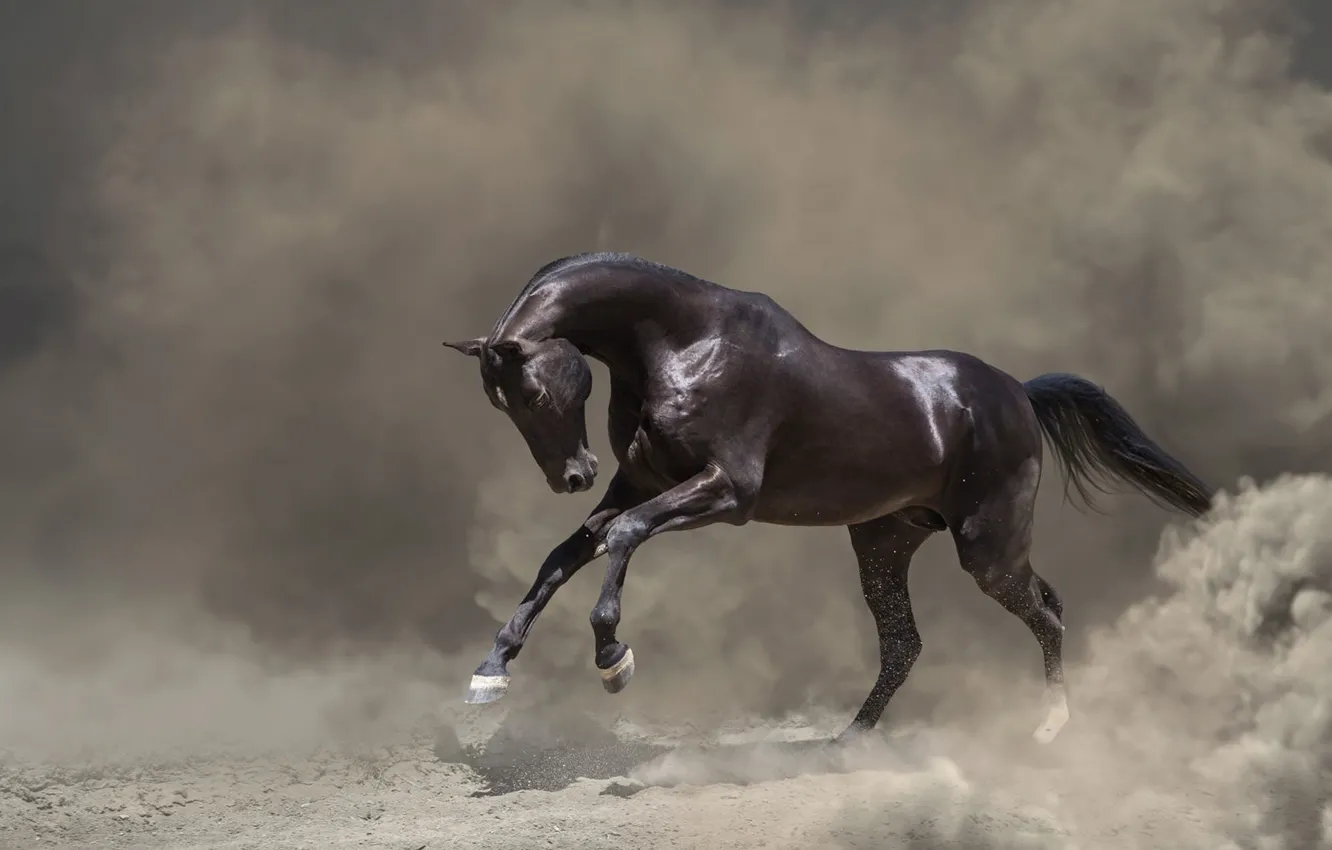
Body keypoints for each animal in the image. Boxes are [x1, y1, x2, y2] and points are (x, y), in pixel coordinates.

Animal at [443, 252, 1213, 744]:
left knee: (1046, 614)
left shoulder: (726, 493)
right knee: (906, 643)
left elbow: (624, 535)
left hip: (987, 547)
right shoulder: (642, 481)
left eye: (533, 393)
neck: (685, 344)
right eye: (501, 403)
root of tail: (1019, 394)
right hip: (885, 542)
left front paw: (612, 658)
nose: (571, 475)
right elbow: (564, 555)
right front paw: (491, 671)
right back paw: (851, 738)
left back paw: (1052, 725)